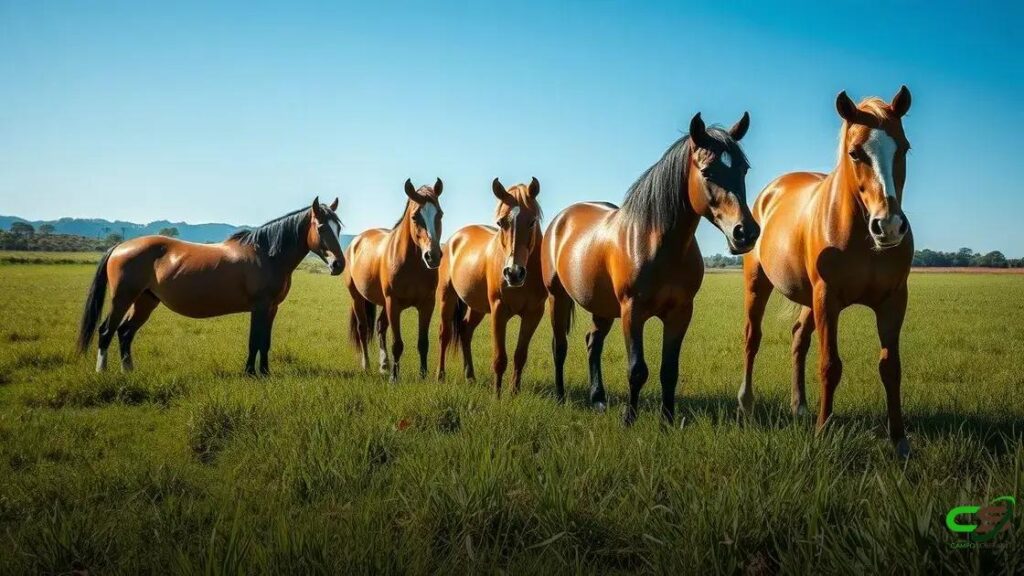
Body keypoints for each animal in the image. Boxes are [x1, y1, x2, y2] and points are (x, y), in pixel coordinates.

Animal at [77, 197, 345, 375]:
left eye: (338, 227)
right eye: (322, 227)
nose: (339, 264)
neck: (267, 254)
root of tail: (119, 246)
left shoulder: (271, 308)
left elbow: (265, 341)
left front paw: (265, 373)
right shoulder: (259, 307)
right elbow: (254, 340)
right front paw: (250, 374)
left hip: (146, 300)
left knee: (125, 332)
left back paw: (129, 371)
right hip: (123, 298)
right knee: (106, 331)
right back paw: (102, 373)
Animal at [347, 179, 444, 382]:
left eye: (440, 214)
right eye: (415, 217)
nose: (433, 256)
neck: (412, 264)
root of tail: (356, 241)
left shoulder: (427, 304)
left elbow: (423, 342)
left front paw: (423, 376)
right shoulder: (394, 304)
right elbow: (397, 343)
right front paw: (394, 378)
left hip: (383, 303)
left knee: (380, 326)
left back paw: (384, 365)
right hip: (358, 298)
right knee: (362, 329)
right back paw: (367, 366)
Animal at [436, 178, 546, 396]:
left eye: (532, 221)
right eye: (500, 222)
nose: (514, 273)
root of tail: (453, 239)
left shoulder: (534, 314)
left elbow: (520, 355)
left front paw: (514, 393)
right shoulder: (499, 310)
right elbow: (499, 359)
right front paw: (497, 395)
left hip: (477, 307)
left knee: (465, 331)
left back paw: (470, 376)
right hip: (446, 297)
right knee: (444, 334)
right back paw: (440, 376)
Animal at [542, 112, 758, 425]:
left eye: (744, 169)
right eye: (707, 172)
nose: (746, 232)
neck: (657, 242)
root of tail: (561, 219)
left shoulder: (680, 313)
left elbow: (669, 371)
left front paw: (667, 420)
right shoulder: (632, 311)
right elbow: (637, 370)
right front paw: (629, 419)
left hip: (602, 307)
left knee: (593, 342)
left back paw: (598, 399)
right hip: (557, 298)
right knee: (559, 346)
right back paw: (560, 398)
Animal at [737, 86, 914, 457]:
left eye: (904, 147)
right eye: (855, 153)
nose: (889, 226)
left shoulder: (893, 301)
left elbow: (891, 367)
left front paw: (899, 440)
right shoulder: (828, 299)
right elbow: (830, 365)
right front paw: (823, 432)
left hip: (808, 299)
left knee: (798, 339)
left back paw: (800, 406)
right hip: (758, 284)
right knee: (752, 337)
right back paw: (746, 404)